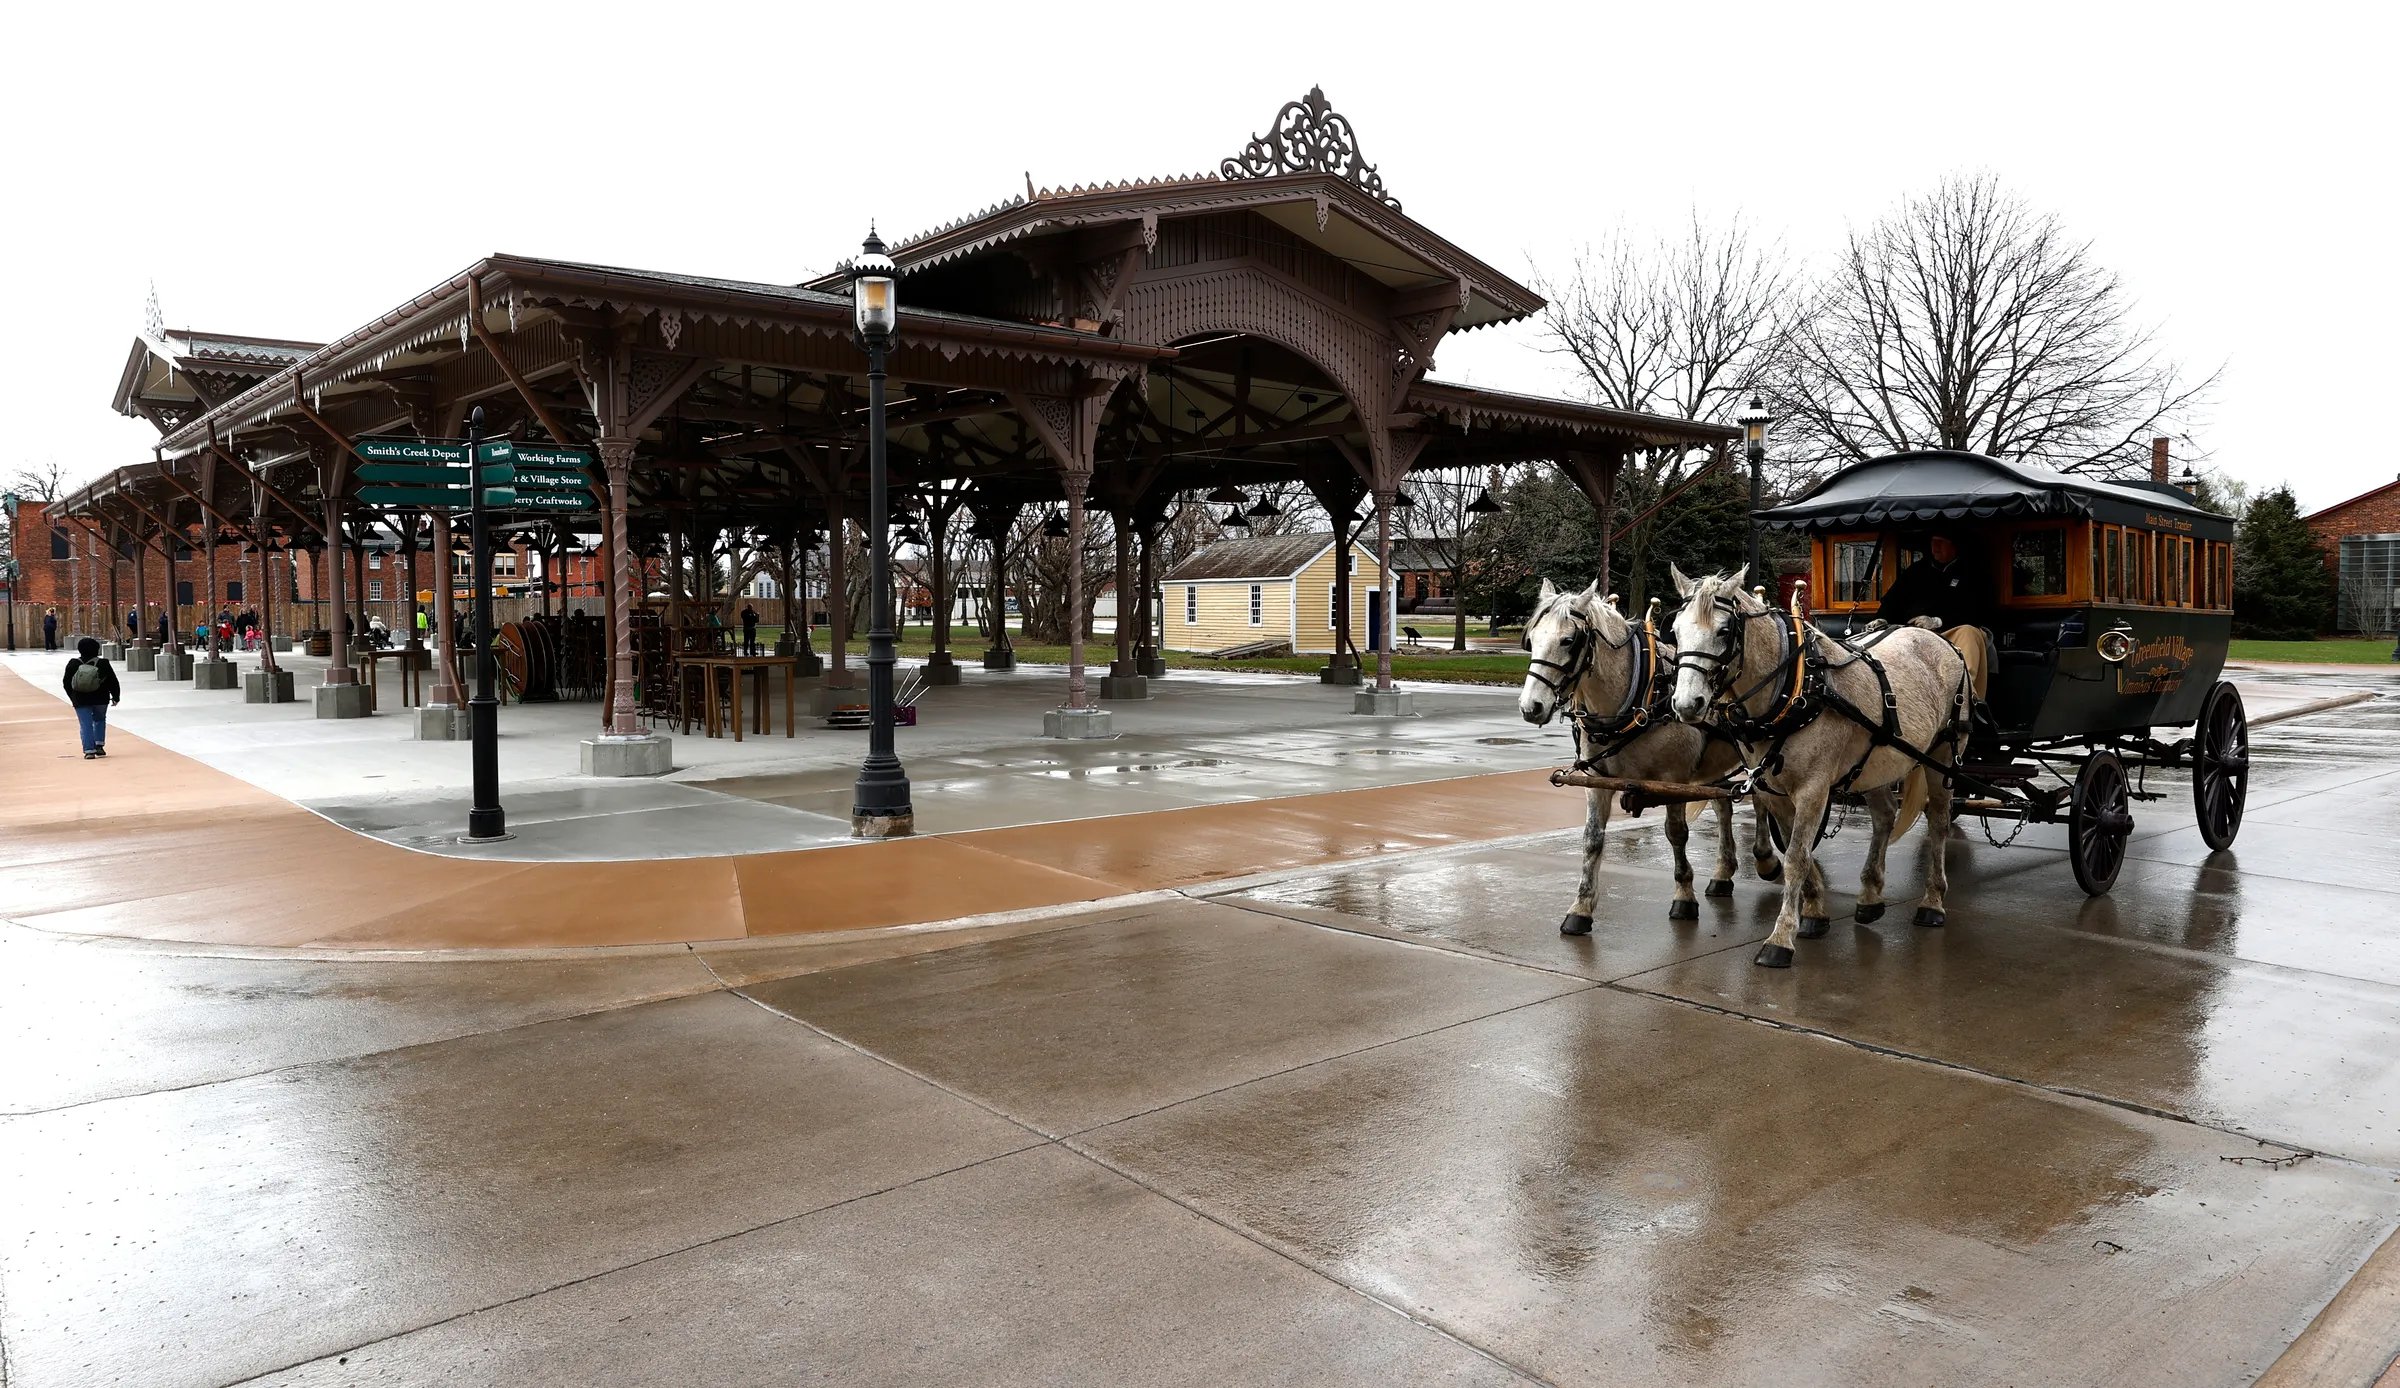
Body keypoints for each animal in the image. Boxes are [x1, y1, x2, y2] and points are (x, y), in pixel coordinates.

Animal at [1526, 571, 1776, 931]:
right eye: (1531, 639)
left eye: (1568, 641)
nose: (1531, 706)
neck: (1639, 697)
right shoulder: (1596, 781)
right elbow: (1592, 840)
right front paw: (1580, 908)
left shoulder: (1673, 779)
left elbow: (1677, 833)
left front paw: (1684, 896)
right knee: (1724, 805)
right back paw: (1723, 873)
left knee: (1759, 800)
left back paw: (1766, 859)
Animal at [1670, 566, 1968, 965]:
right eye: (1674, 630)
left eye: (1723, 630)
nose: (1687, 704)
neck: (1796, 687)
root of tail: (1932, 633)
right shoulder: (1773, 789)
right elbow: (1798, 850)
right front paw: (1814, 912)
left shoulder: (1813, 788)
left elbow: (1796, 856)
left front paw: (1780, 938)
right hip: (1878, 761)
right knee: (1884, 816)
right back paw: (1870, 894)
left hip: (1943, 756)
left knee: (1938, 821)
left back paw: (1932, 901)